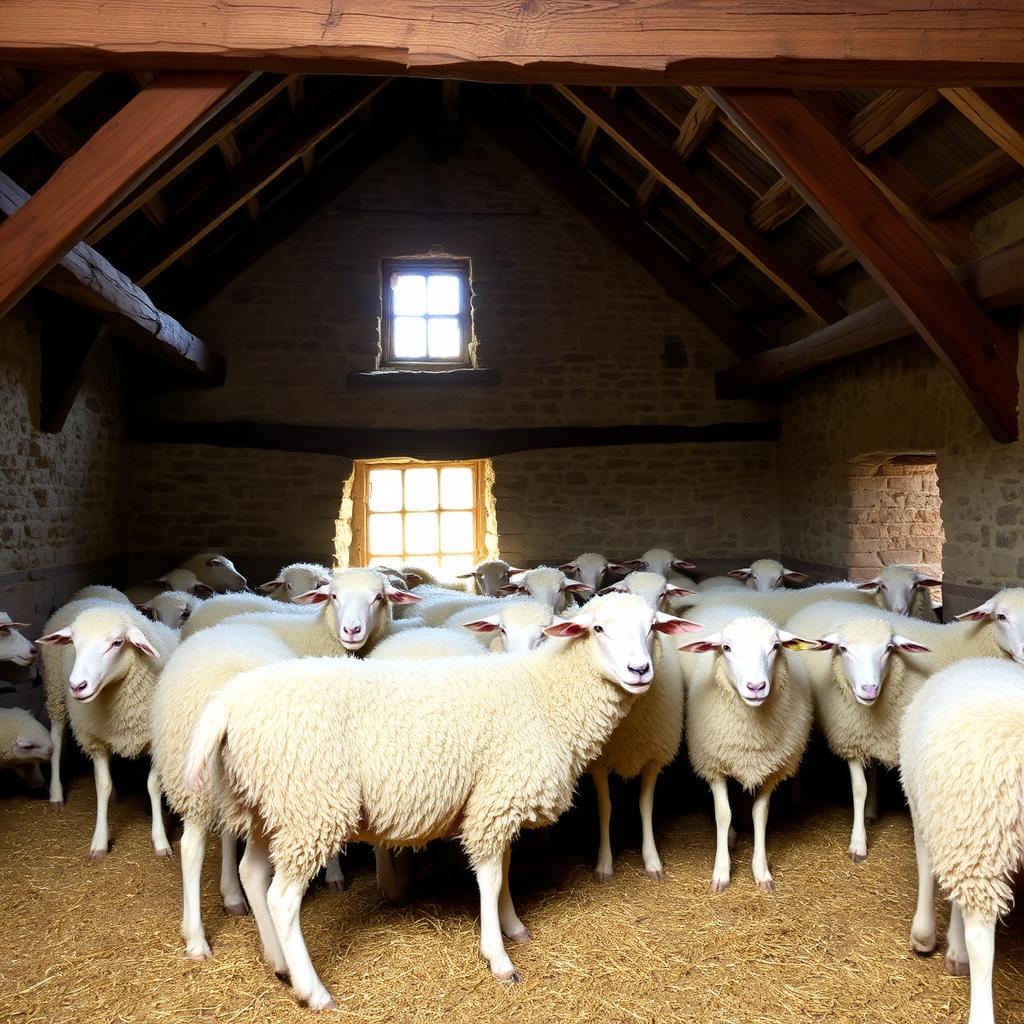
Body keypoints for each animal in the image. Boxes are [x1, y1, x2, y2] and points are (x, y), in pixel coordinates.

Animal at [36, 604, 178, 858]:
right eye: (73, 642)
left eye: (117, 643)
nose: (78, 686)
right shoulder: (95, 740)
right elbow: (102, 786)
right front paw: (100, 841)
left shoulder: (154, 740)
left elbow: (153, 786)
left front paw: (161, 841)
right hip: (56, 692)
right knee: (57, 738)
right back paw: (56, 793)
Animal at [183, 593, 697, 1007]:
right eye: (598, 629)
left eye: (653, 627)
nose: (640, 671)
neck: (546, 694)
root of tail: (230, 699)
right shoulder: (498, 797)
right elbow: (490, 879)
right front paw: (499, 958)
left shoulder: (494, 798)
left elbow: (504, 869)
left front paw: (513, 926)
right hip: (312, 804)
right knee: (282, 898)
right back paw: (313, 990)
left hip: (268, 805)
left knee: (252, 874)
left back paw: (280, 966)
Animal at [679, 604, 825, 893]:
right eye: (726, 647)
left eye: (776, 646)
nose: (756, 687)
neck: (751, 733)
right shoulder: (714, 765)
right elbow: (723, 815)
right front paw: (721, 871)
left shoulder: (773, 768)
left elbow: (761, 814)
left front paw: (762, 871)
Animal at [783, 601, 934, 862]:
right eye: (843, 648)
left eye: (889, 648)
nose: (869, 689)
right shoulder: (850, 740)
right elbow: (859, 789)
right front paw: (858, 844)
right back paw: (796, 797)